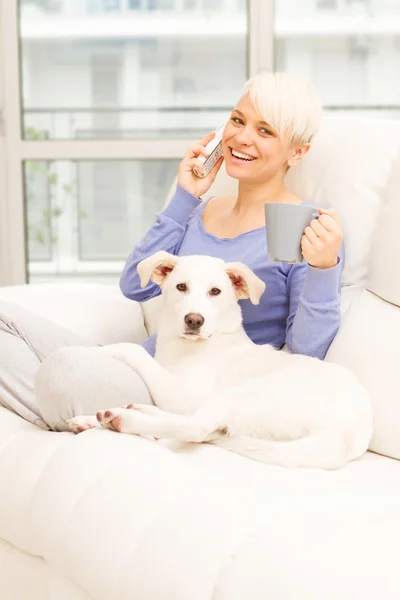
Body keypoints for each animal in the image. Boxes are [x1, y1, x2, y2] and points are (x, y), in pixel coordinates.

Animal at [68, 251, 372, 472]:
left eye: (215, 291)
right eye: (181, 287)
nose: (194, 320)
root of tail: (344, 437)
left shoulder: (179, 394)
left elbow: (133, 350)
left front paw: (100, 348)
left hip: (241, 394)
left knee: (195, 428)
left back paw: (125, 419)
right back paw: (108, 415)